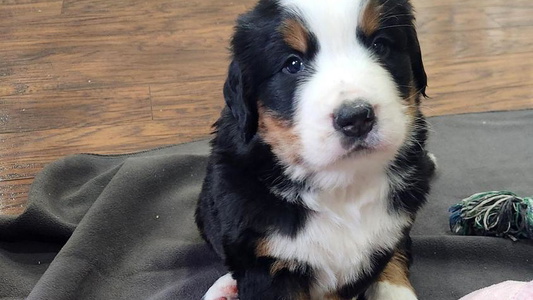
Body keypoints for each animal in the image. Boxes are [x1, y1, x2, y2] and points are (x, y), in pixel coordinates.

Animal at [196, 1, 436, 298]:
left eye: (380, 45)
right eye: (292, 64)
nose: (356, 118)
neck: (344, 187)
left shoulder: (393, 233)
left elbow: (393, 264)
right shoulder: (267, 265)